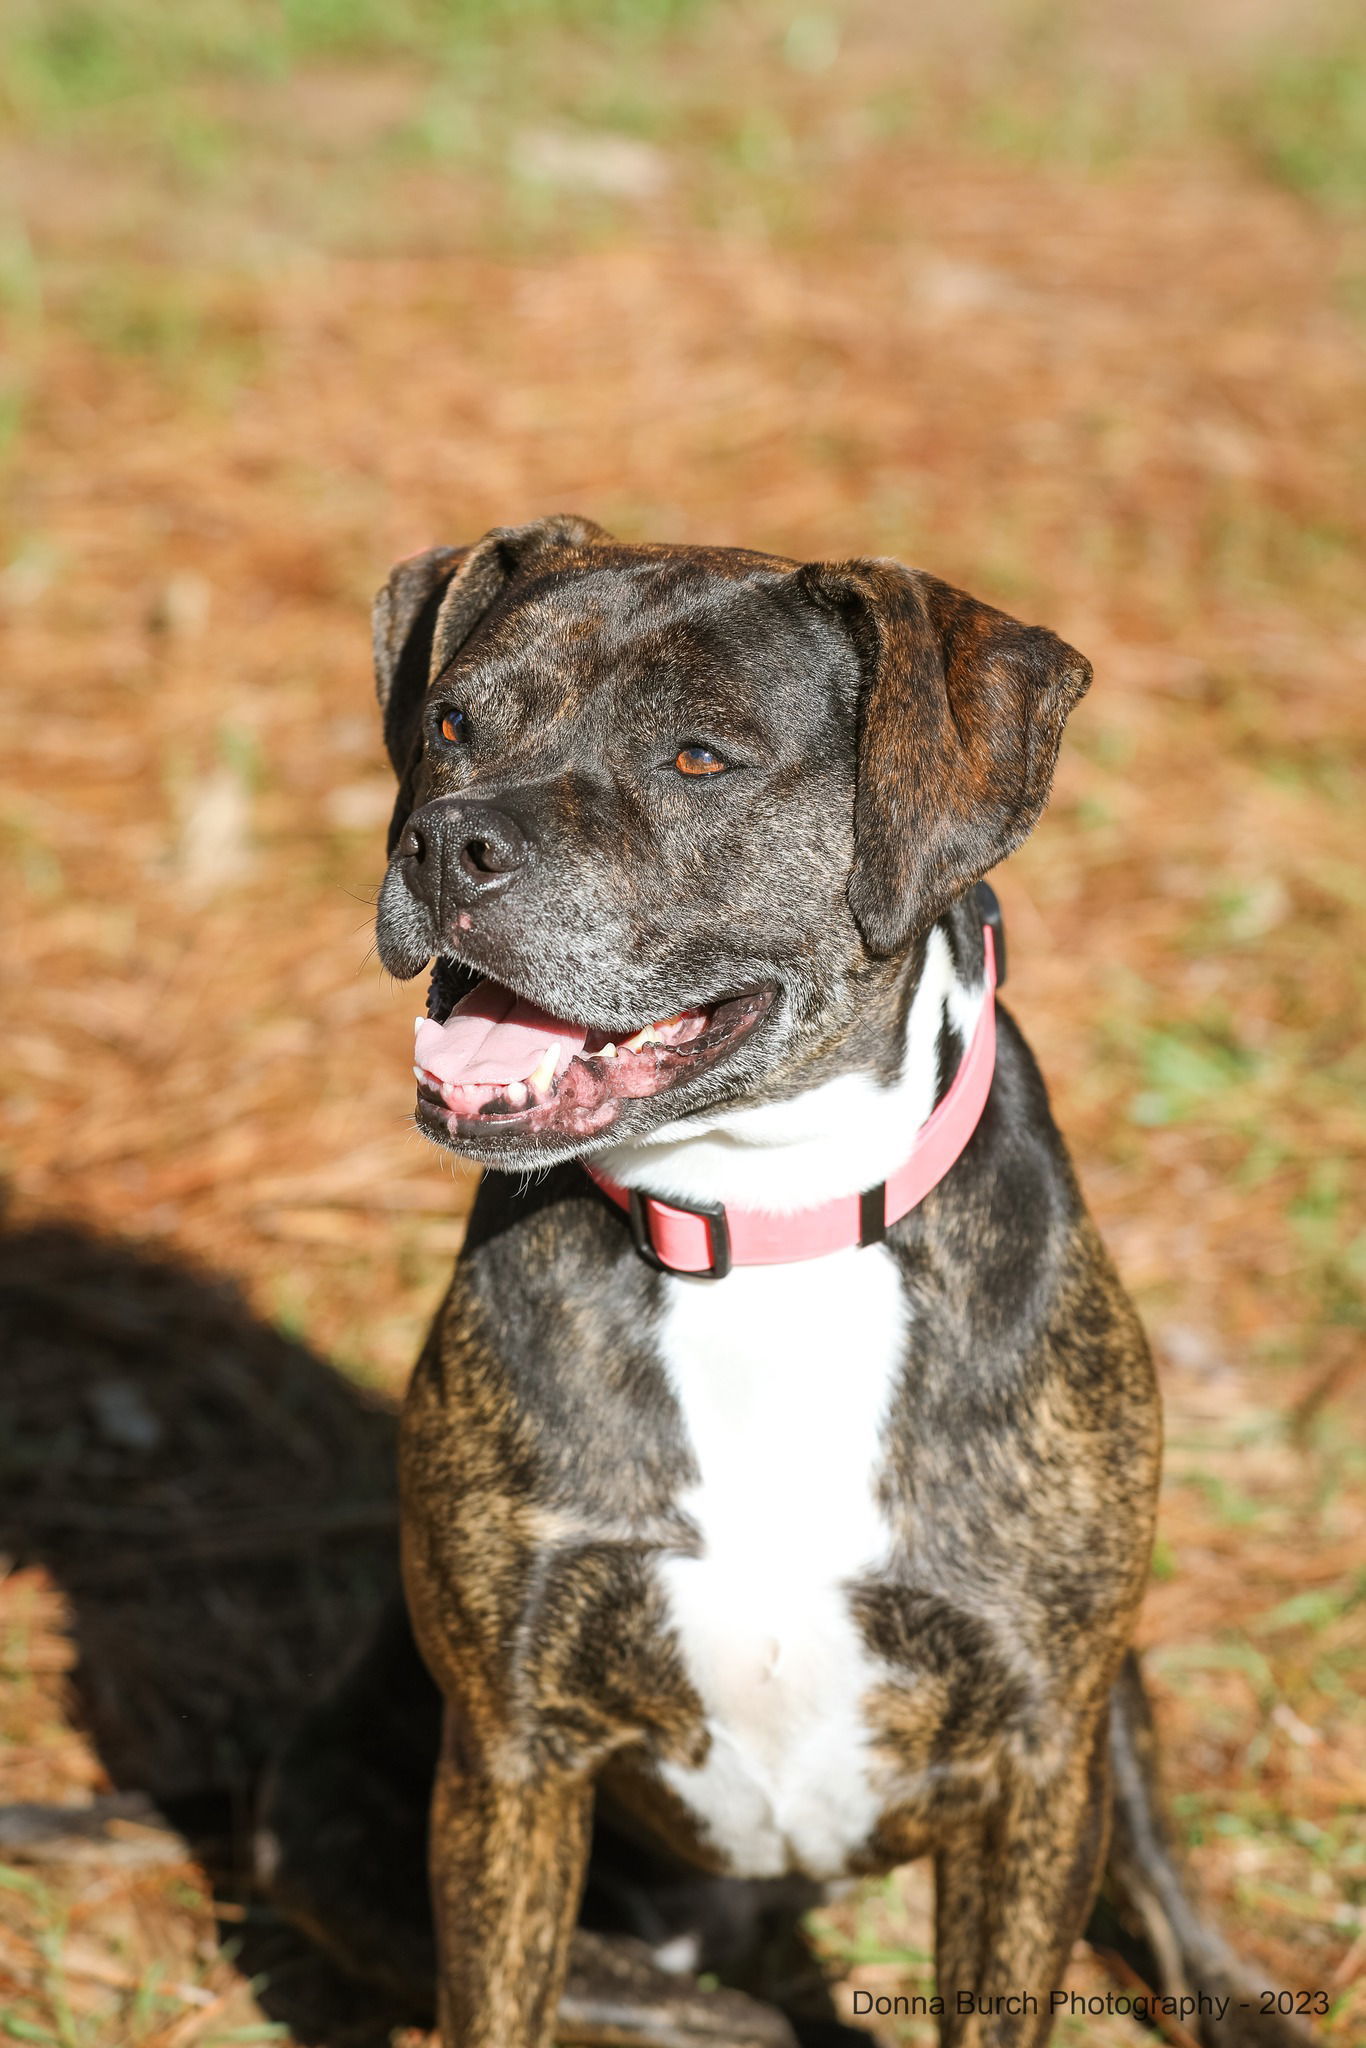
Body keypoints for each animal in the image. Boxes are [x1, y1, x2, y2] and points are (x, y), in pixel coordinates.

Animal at [259, 516, 1327, 2048]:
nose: (444, 839)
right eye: (451, 724)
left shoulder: (1030, 1759)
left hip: (1102, 1698)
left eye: (700, 756)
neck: (762, 1223)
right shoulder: (512, 1756)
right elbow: (495, 1990)